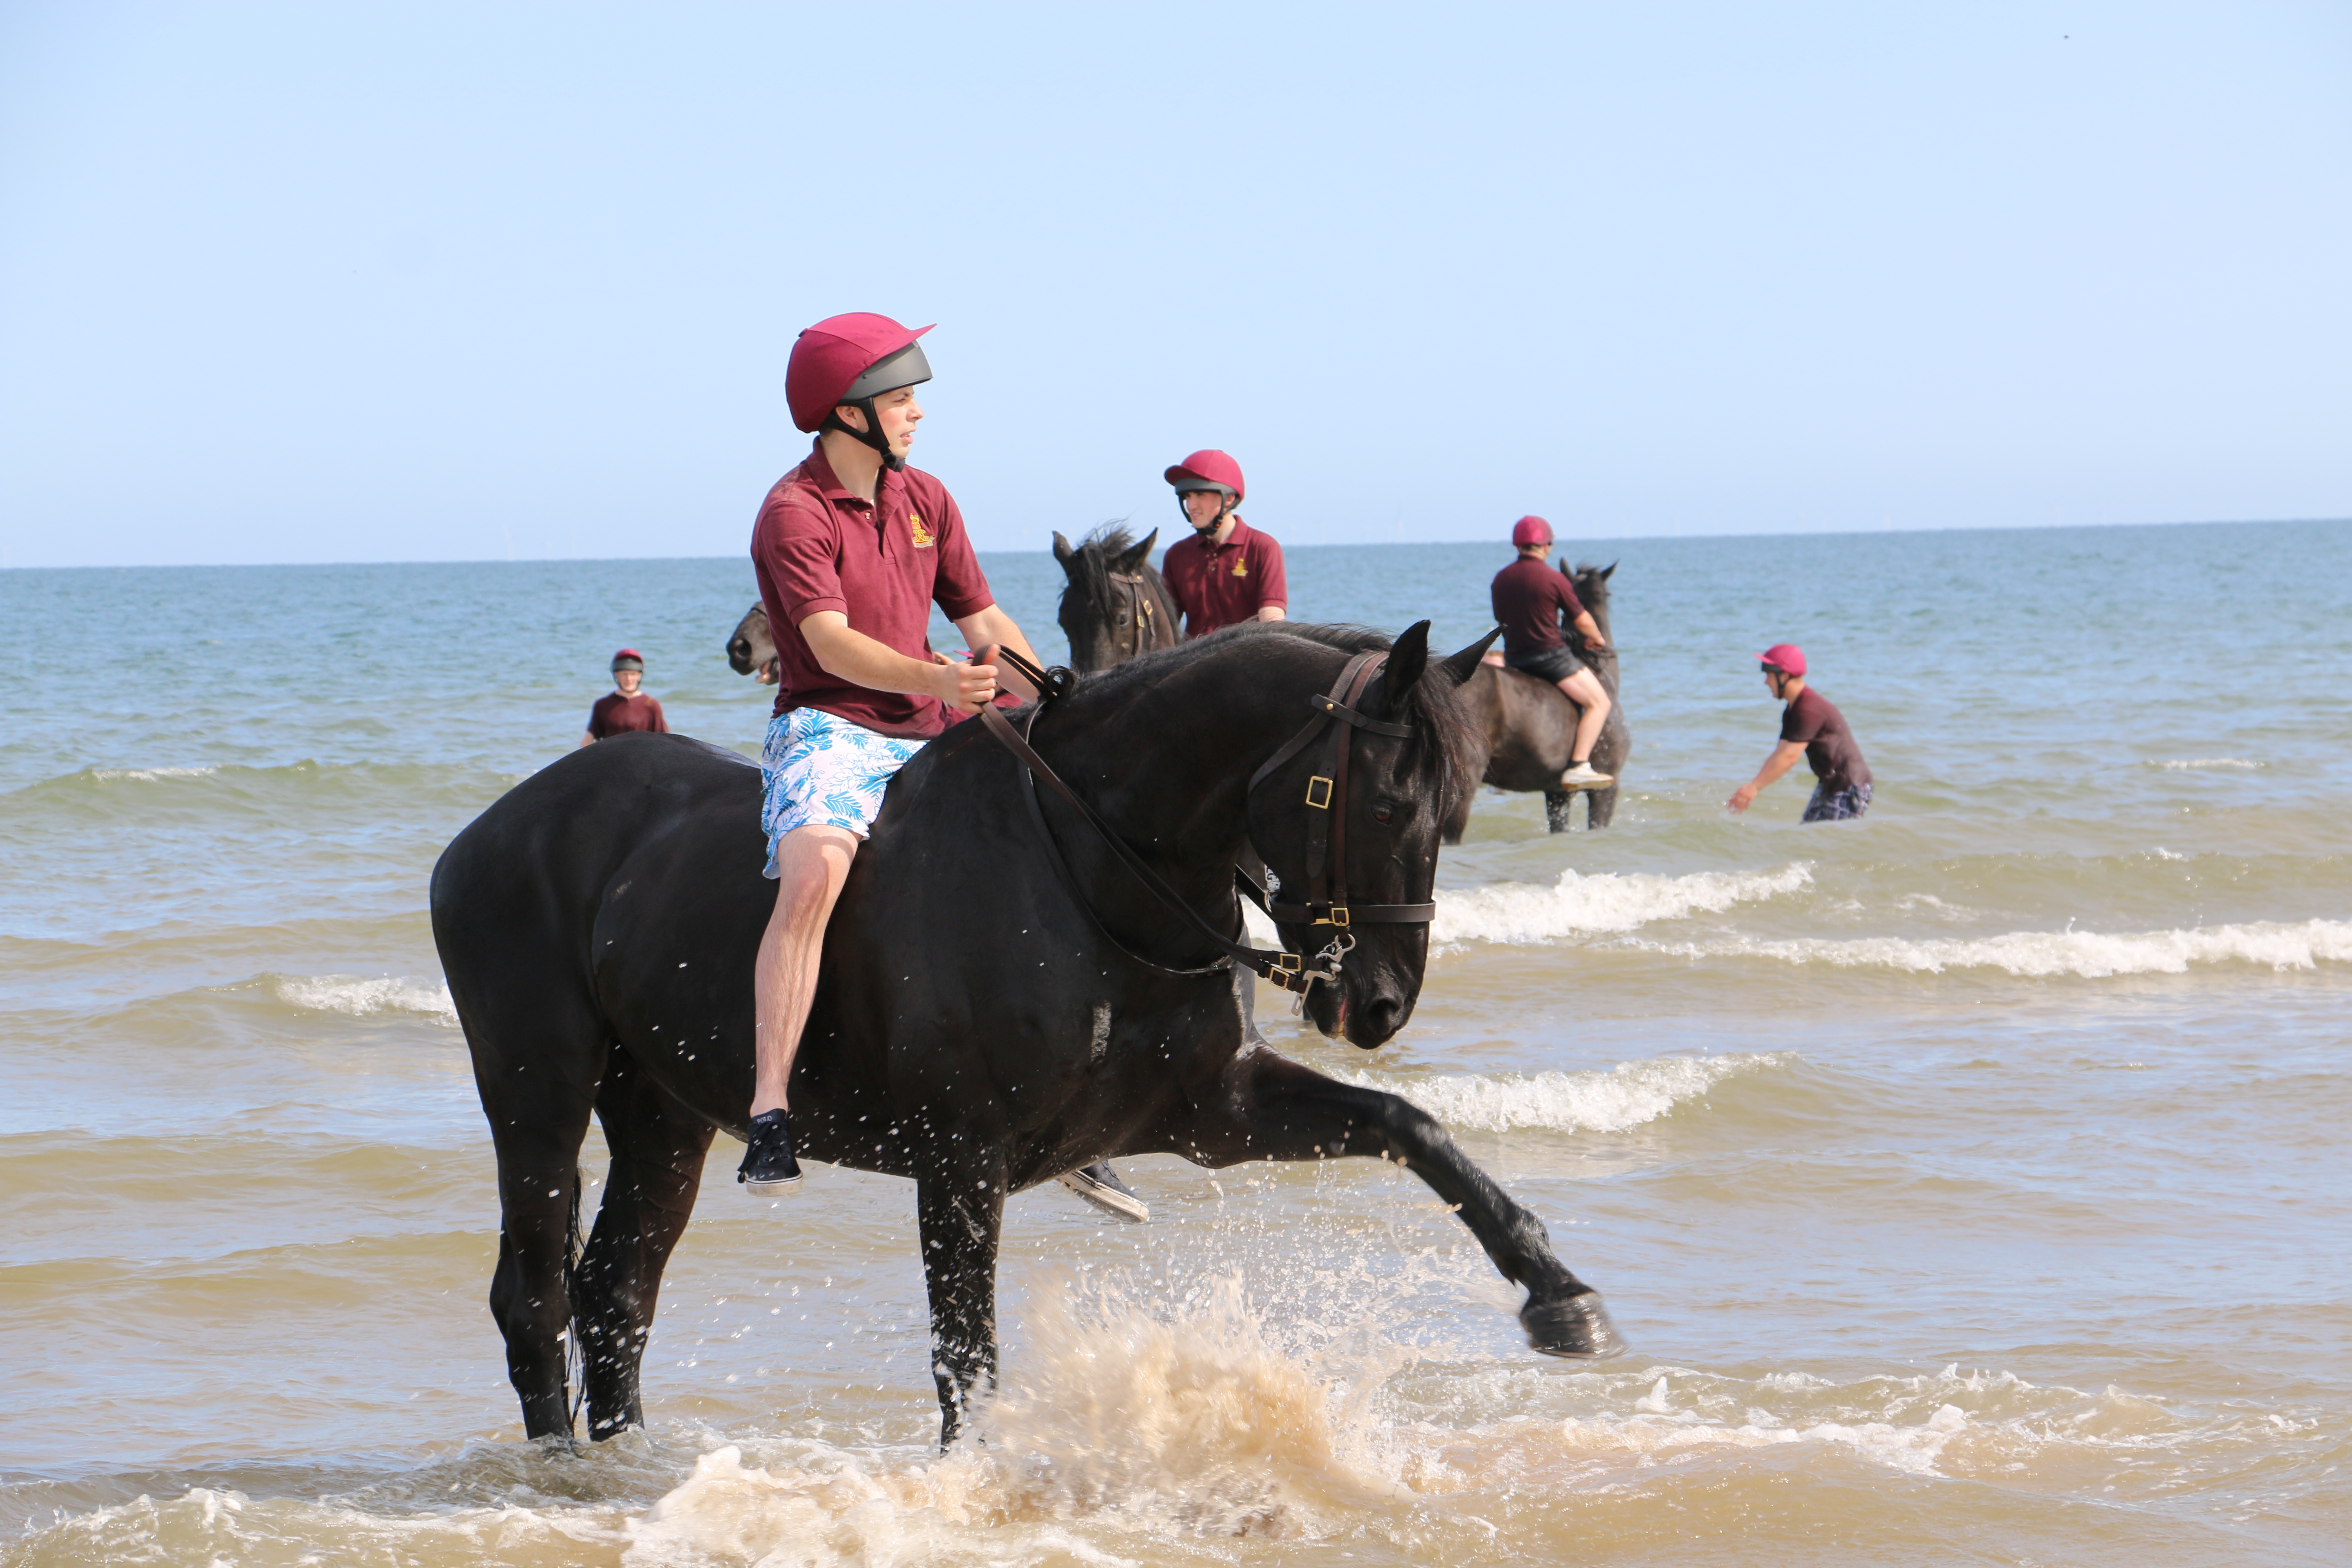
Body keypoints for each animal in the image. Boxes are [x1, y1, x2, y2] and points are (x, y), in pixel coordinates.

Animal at [430, 621, 1624, 1449]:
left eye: (1454, 811)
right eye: (1381, 807)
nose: (1378, 1004)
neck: (1097, 873)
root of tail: (491, 827)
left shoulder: (1215, 1115)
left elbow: (1410, 1129)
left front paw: (1558, 1292)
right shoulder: (961, 1163)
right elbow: (967, 1354)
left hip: (663, 1115)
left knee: (617, 1291)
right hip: (537, 1093)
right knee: (537, 1294)